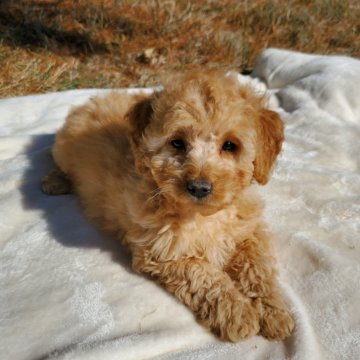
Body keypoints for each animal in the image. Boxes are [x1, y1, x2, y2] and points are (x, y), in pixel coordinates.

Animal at [43, 71, 296, 344]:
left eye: (230, 145)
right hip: (64, 151)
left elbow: (257, 269)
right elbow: (204, 275)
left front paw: (274, 312)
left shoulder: (248, 232)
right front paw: (237, 312)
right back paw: (54, 181)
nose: (199, 187)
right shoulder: (161, 251)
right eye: (177, 143)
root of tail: (86, 103)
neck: (203, 217)